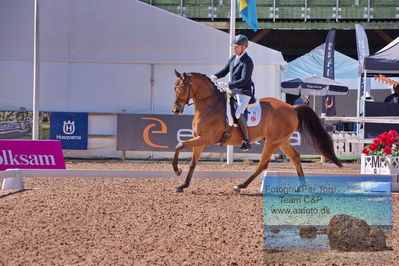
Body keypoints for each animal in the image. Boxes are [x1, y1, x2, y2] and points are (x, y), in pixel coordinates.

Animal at [170, 70, 342, 193]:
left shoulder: (205, 138)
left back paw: (240, 186)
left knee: (263, 164)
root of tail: (292, 108)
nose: (175, 110)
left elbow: (179, 145)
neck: (209, 106)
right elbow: (192, 163)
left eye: (182, 88)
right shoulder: (199, 140)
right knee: (295, 157)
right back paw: (301, 186)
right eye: (174, 88)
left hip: (272, 142)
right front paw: (182, 185)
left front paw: (177, 170)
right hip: (281, 140)